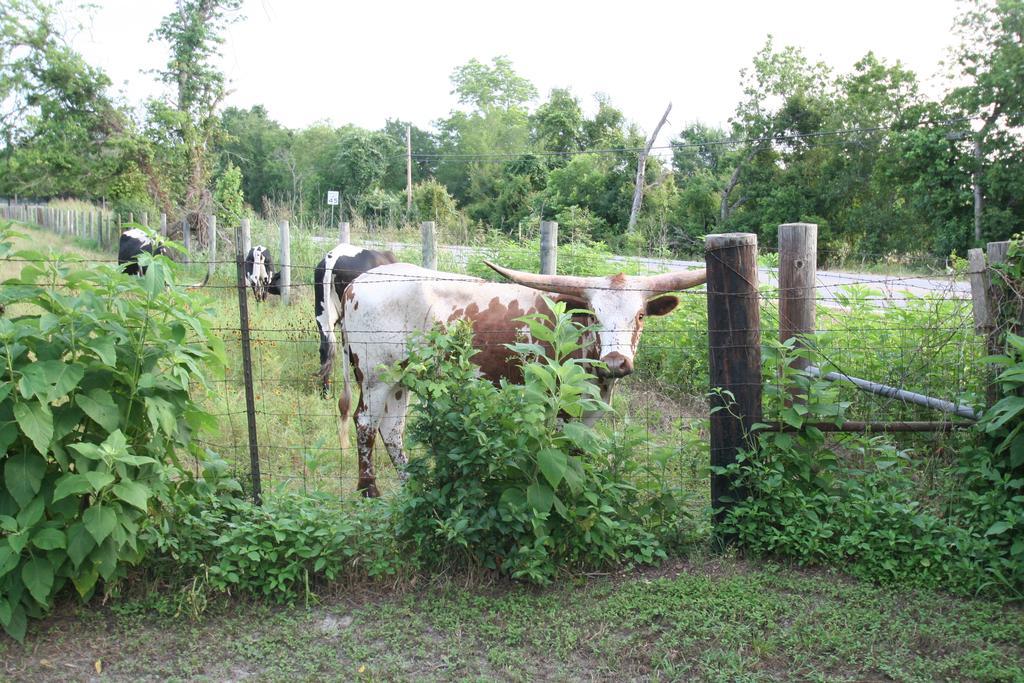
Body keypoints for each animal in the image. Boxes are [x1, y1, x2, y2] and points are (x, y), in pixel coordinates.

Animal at [339, 262, 708, 497]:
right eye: (595, 316)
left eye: (640, 315)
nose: (616, 362)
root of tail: (356, 284)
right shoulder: (559, 408)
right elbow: (562, 450)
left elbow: (578, 449)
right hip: (375, 374)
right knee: (366, 423)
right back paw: (369, 489)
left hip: (402, 378)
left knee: (392, 430)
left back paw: (412, 483)